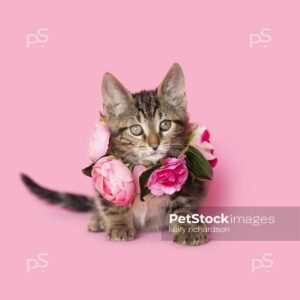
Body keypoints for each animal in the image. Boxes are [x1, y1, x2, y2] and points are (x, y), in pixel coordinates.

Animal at [21, 63, 209, 246]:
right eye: (136, 129)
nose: (154, 145)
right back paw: (99, 219)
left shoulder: (187, 181)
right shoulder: (107, 177)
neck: (146, 167)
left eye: (165, 125)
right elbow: (112, 205)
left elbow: (184, 205)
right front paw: (120, 226)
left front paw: (189, 229)